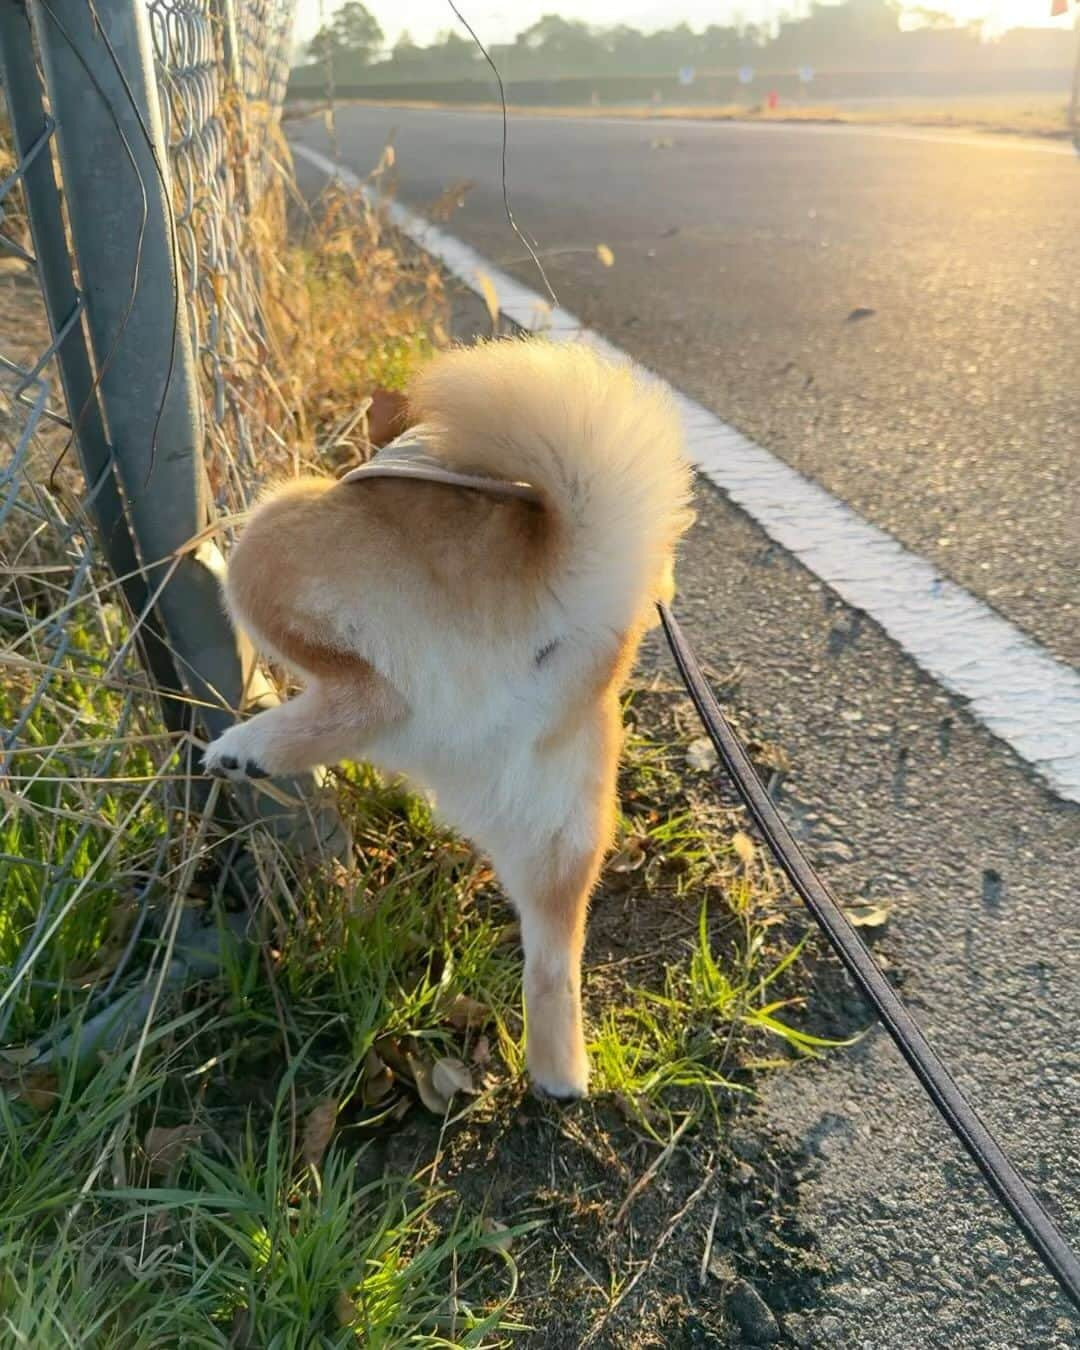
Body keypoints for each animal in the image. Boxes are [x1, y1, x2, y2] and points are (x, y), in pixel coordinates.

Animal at [202, 334, 691, 1096]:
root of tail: (561, 604)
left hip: (279, 530)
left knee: (373, 699)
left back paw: (250, 738)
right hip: (558, 833)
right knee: (553, 966)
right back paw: (558, 1077)